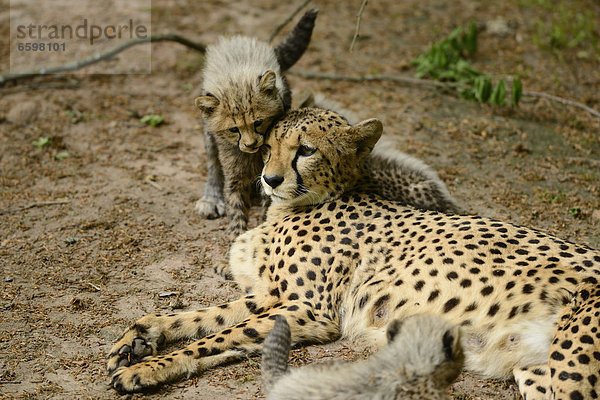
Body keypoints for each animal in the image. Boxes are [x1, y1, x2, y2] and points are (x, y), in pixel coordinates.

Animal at [109, 108, 600, 398]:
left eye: (305, 150)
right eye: (268, 147)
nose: (269, 178)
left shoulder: (309, 311)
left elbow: (220, 334)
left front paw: (146, 367)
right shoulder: (272, 295)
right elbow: (200, 320)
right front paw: (140, 340)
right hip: (534, 367)